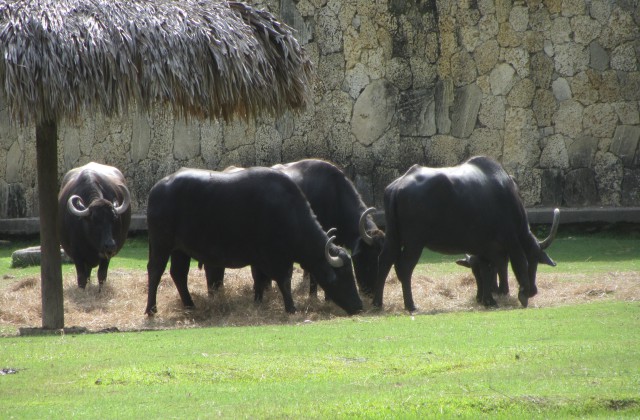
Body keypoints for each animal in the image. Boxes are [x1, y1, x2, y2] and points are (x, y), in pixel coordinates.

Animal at [57, 162, 131, 290]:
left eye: (114, 219)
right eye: (95, 221)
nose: (110, 245)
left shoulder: (106, 255)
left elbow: (102, 274)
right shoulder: (77, 255)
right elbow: (82, 277)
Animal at [146, 167, 364, 316]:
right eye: (342, 277)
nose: (359, 306)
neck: (287, 213)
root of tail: (157, 188)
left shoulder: (259, 259)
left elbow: (259, 281)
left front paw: (258, 303)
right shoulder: (276, 258)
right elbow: (284, 280)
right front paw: (291, 307)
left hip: (180, 250)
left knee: (178, 274)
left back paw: (190, 305)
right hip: (160, 243)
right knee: (155, 270)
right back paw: (151, 309)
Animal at [372, 156, 556, 310]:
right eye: (534, 260)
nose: (533, 290)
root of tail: (398, 185)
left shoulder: (484, 248)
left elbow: (486, 270)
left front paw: (488, 300)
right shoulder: (511, 240)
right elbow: (515, 263)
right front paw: (520, 295)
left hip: (393, 237)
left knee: (384, 261)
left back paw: (378, 303)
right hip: (414, 242)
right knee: (405, 267)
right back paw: (410, 304)